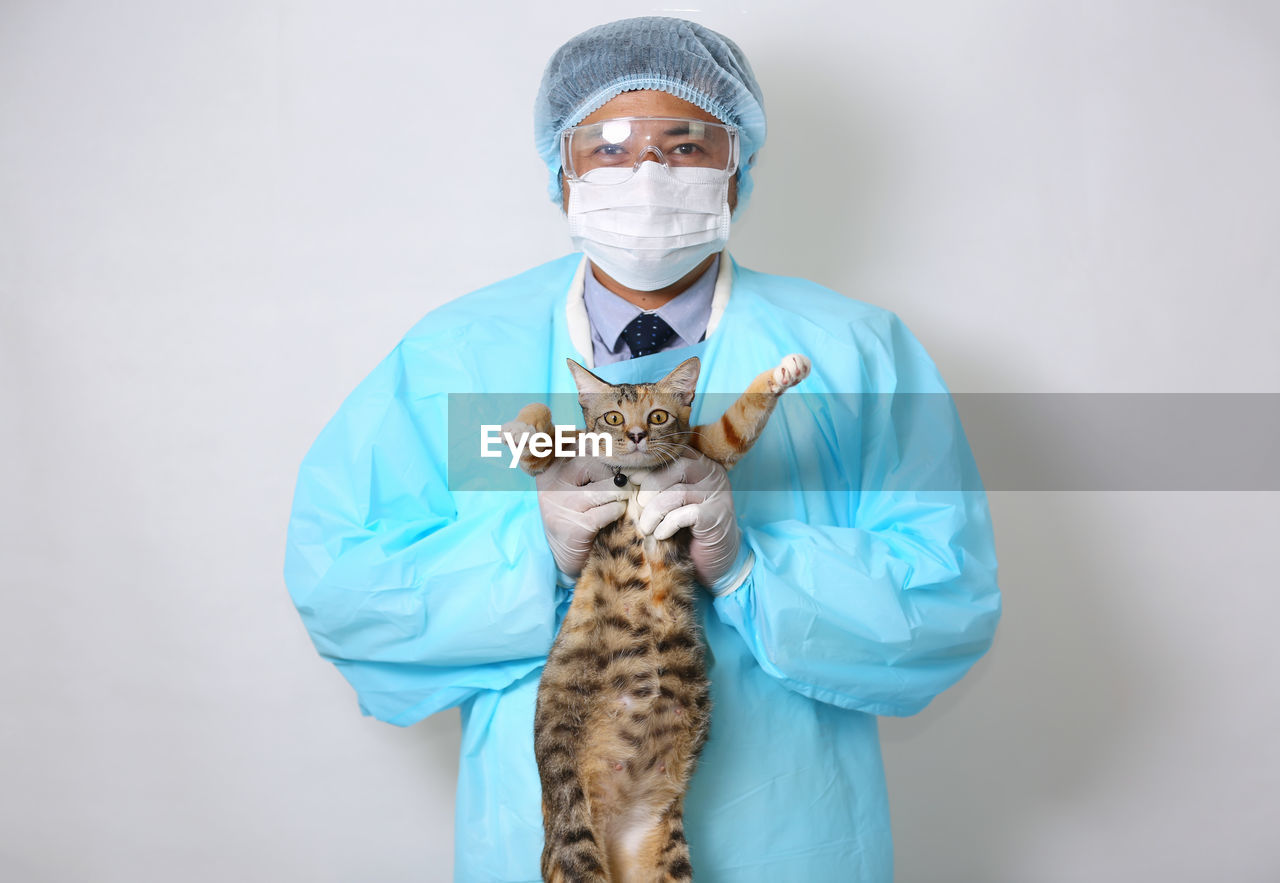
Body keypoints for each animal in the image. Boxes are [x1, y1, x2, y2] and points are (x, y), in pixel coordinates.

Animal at [501, 353, 808, 880]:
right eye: (613, 417)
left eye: (659, 415)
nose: (638, 435)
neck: (635, 479)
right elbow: (544, 448)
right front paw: (526, 429)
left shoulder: (706, 449)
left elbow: (739, 422)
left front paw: (783, 372)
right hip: (575, 834)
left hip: (669, 852)